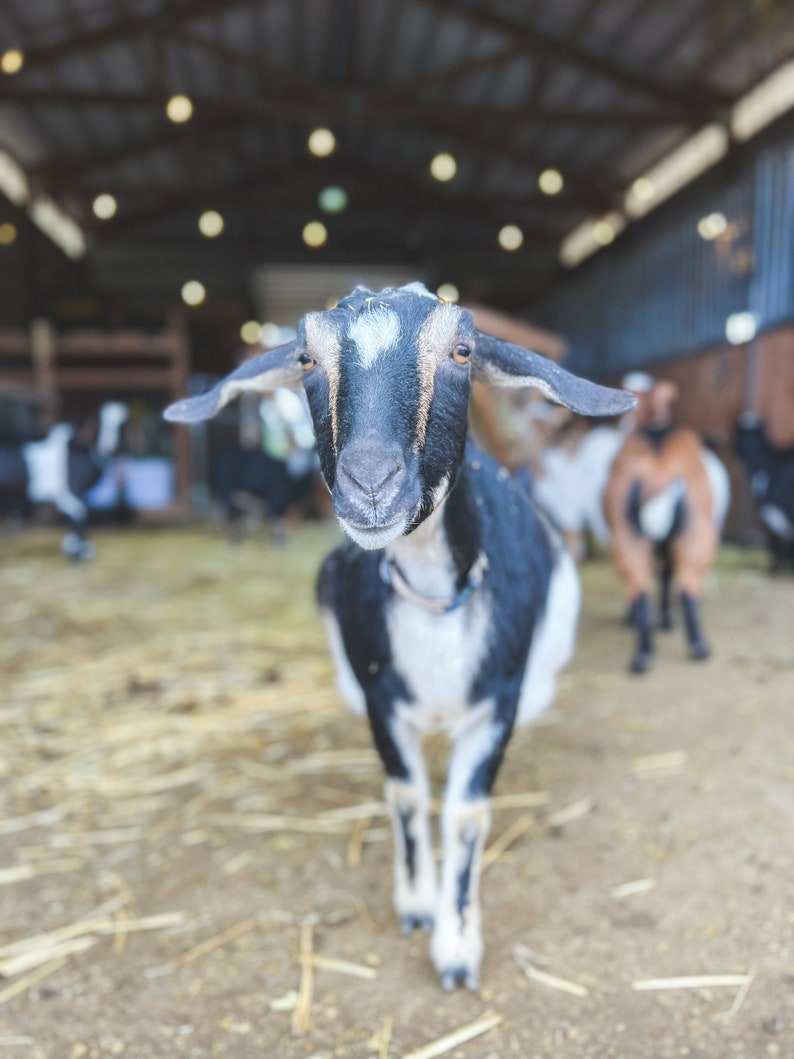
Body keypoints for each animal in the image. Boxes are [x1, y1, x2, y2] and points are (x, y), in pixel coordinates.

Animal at [0, 402, 128, 560]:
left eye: (122, 425)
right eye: (99, 423)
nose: (110, 447)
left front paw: (72, 548)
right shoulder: (71, 492)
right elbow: (79, 515)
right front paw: (80, 553)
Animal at [164, 283, 635, 990]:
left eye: (463, 350)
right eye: (306, 358)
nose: (370, 484)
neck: (432, 594)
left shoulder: (499, 702)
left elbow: (465, 815)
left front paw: (458, 946)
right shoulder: (379, 698)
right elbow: (408, 795)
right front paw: (417, 903)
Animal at [603, 378, 725, 673]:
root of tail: (658, 473)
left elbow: (664, 576)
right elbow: (667, 576)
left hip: (630, 536)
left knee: (645, 589)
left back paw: (645, 652)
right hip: (696, 534)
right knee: (683, 587)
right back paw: (692, 646)